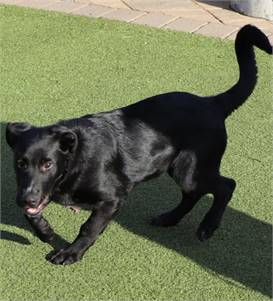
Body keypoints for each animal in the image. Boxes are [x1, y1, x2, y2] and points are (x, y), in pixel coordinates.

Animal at [5, 26, 270, 264]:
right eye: (20, 163)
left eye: (47, 164)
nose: (26, 199)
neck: (77, 157)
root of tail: (212, 103)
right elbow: (31, 215)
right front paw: (45, 231)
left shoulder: (112, 198)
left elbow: (89, 227)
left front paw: (71, 253)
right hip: (180, 168)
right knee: (193, 195)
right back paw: (169, 218)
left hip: (191, 170)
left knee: (225, 186)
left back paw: (208, 226)